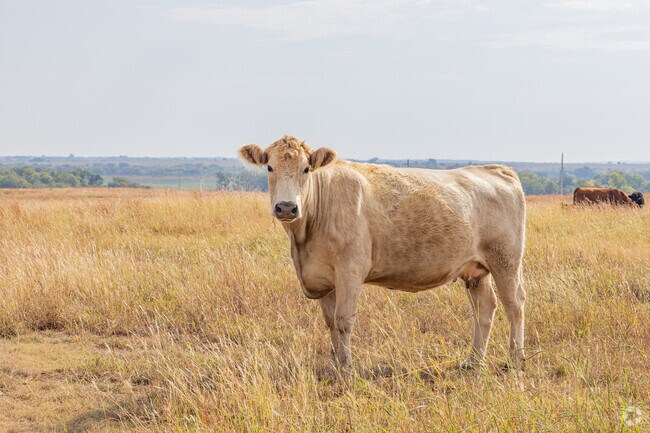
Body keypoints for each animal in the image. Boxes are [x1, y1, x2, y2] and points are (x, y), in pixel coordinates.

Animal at [239, 135, 527, 370]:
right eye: (269, 167)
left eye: (306, 168)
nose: (287, 207)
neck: (304, 239)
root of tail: (495, 169)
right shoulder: (322, 277)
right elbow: (330, 322)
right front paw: (335, 365)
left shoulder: (350, 271)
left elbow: (343, 321)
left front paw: (347, 368)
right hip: (476, 270)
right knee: (485, 308)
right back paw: (473, 361)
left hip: (506, 261)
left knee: (514, 305)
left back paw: (514, 360)